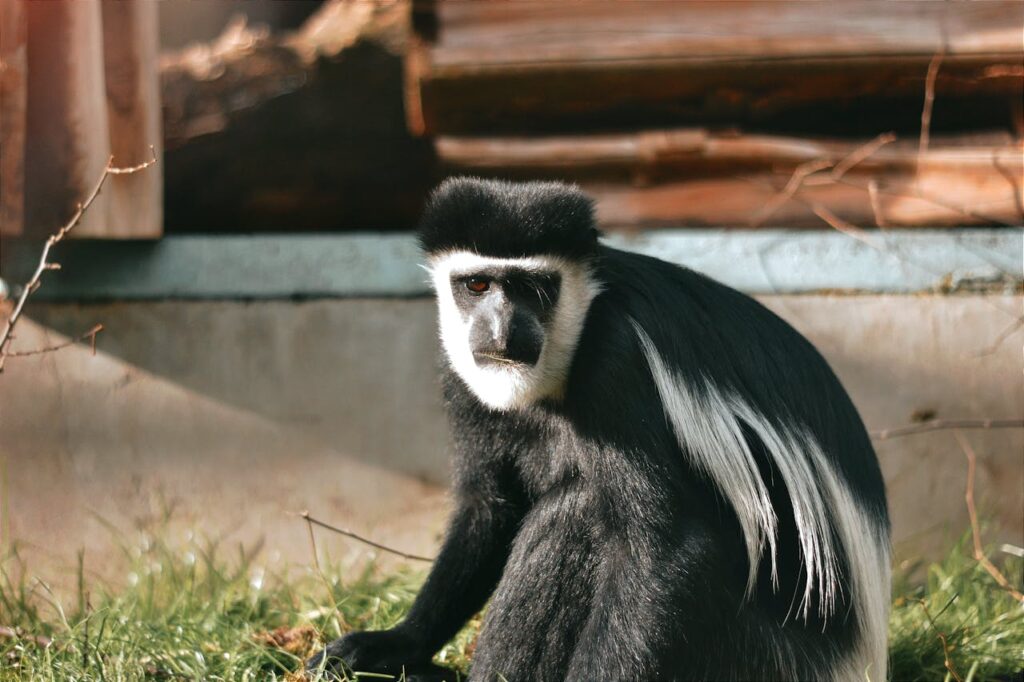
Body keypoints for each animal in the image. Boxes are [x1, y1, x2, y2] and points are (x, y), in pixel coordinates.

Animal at [307, 177, 891, 681]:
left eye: (534, 288)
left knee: (577, 514)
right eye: (477, 284)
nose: (501, 331)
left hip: (755, 656)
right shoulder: (461, 371)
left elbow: (657, 546)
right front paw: (392, 646)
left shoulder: (617, 358)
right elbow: (488, 507)